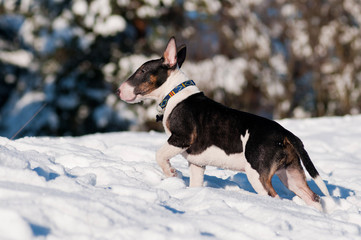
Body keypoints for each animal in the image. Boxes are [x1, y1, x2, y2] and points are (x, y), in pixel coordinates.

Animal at [118, 36, 330, 210]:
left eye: (142, 70)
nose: (119, 91)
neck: (174, 93)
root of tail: (286, 134)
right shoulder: (197, 163)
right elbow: (195, 183)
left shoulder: (182, 137)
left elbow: (159, 154)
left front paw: (172, 173)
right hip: (290, 173)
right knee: (313, 197)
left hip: (258, 174)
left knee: (274, 196)